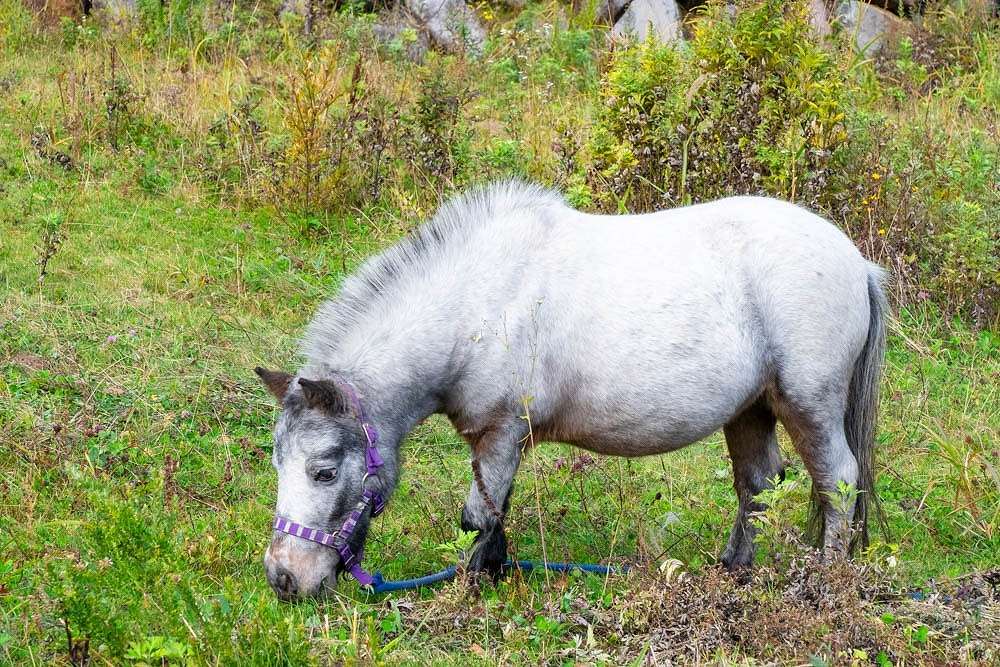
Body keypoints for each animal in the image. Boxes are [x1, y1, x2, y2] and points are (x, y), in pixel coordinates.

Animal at [254, 181, 888, 600]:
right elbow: (497, 509)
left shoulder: (500, 432)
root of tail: (857, 263)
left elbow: (477, 516)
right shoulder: (503, 442)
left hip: (809, 406)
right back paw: (730, 572)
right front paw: (495, 572)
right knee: (756, 485)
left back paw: (825, 585)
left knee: (838, 481)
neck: (477, 304)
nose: (283, 578)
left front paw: (469, 588)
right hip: (751, 410)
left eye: (324, 471)